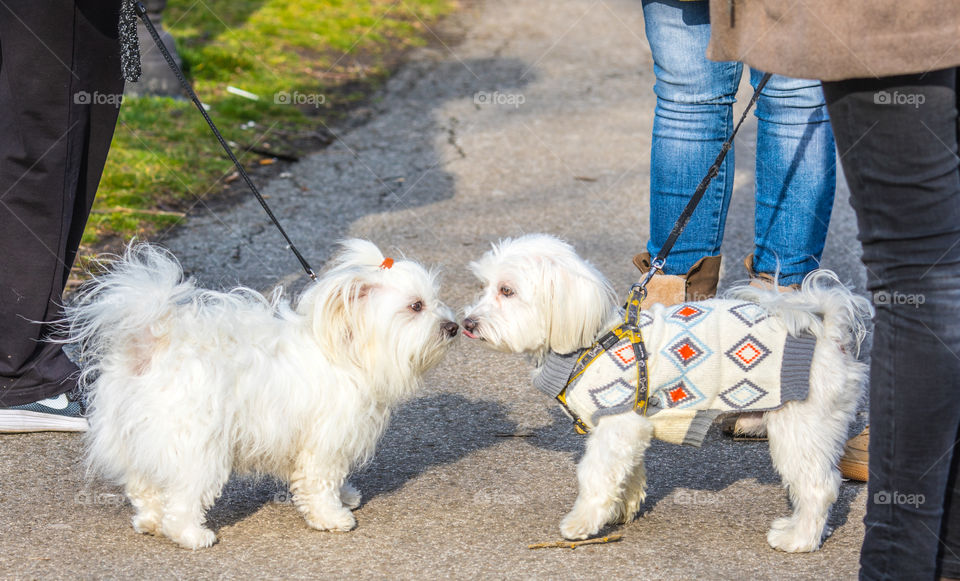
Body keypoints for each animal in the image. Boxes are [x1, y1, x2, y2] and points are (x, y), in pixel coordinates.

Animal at [62, 240, 460, 548]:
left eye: (434, 299)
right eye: (416, 306)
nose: (454, 327)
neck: (348, 350)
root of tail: (151, 343)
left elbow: (331, 478)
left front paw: (345, 496)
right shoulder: (324, 441)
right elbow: (319, 482)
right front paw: (332, 516)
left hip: (140, 436)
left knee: (144, 486)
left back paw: (148, 521)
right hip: (197, 447)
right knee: (183, 498)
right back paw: (191, 535)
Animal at [462, 233, 872, 552]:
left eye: (507, 291)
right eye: (483, 287)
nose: (467, 323)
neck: (588, 339)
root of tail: (828, 333)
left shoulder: (616, 421)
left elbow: (595, 475)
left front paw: (583, 521)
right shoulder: (631, 428)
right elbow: (627, 470)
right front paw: (622, 507)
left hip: (800, 426)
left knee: (820, 486)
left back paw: (798, 539)